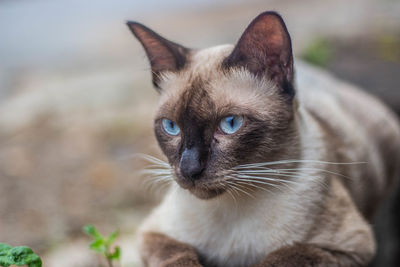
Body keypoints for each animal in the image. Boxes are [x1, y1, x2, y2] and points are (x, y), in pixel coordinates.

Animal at [126, 11, 400, 267]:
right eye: (171, 127)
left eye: (230, 124)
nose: (189, 169)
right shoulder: (153, 234)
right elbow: (178, 255)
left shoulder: (346, 247)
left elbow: (283, 255)